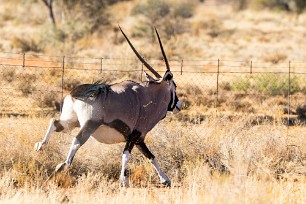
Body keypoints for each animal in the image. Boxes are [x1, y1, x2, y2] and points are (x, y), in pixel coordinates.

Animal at [34, 26, 182, 186]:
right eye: (174, 86)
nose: (179, 105)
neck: (147, 96)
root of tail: (76, 93)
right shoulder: (135, 136)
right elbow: (127, 155)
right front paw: (124, 180)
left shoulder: (139, 139)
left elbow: (151, 156)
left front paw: (165, 179)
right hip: (89, 125)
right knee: (76, 141)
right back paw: (63, 165)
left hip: (71, 121)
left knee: (55, 122)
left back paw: (40, 145)